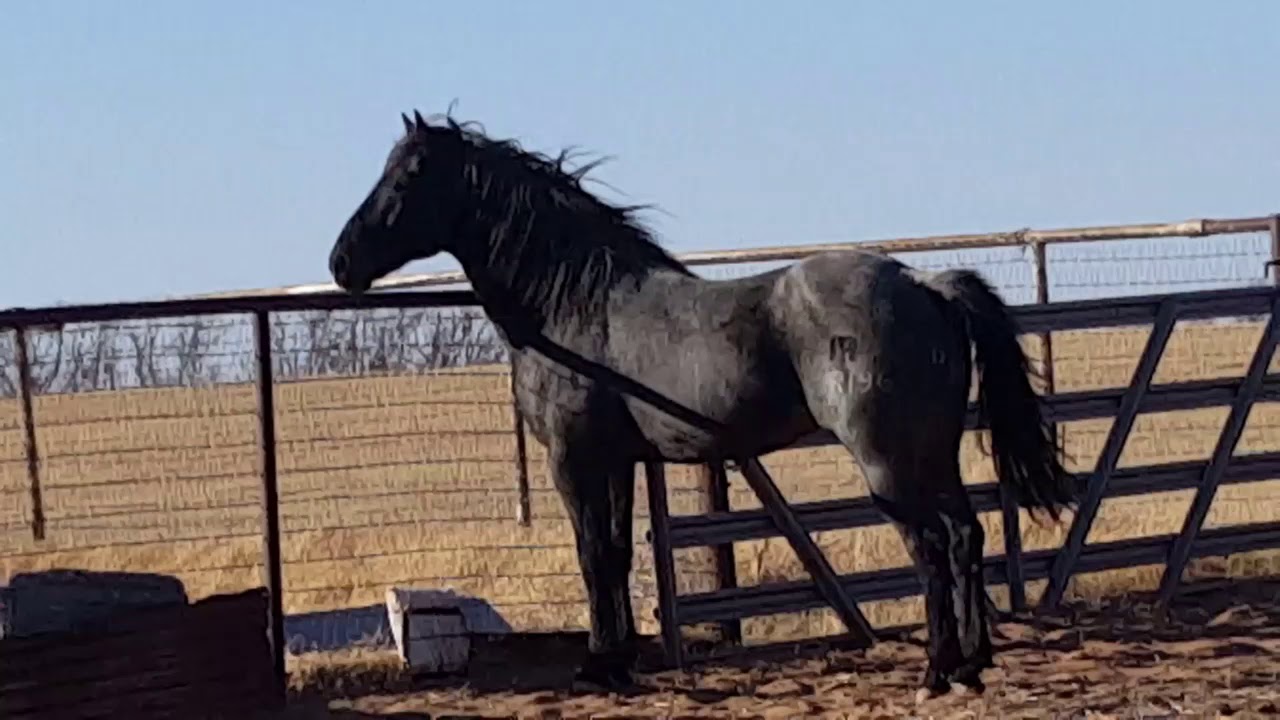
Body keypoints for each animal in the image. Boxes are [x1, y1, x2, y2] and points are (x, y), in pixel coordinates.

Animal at [326, 110, 1075, 697]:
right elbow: (616, 553)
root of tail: (924, 283)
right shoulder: (620, 461)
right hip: (933, 454)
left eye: (405, 178)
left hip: (887, 462)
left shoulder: (575, 460)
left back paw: (936, 671)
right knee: (966, 535)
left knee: (931, 545)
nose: (340, 263)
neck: (576, 306)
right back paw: (973, 666)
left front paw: (599, 668)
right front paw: (617, 664)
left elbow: (591, 554)